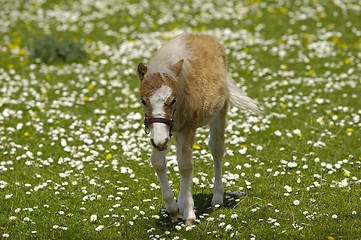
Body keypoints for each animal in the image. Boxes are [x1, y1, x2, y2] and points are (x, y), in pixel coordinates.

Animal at [136, 32, 258, 224]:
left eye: (173, 100)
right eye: (143, 100)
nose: (160, 142)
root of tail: (205, 35)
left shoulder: (188, 128)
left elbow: (186, 165)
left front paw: (188, 214)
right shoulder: (165, 131)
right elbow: (158, 162)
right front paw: (173, 209)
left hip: (219, 113)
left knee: (217, 149)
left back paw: (217, 198)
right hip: (176, 132)